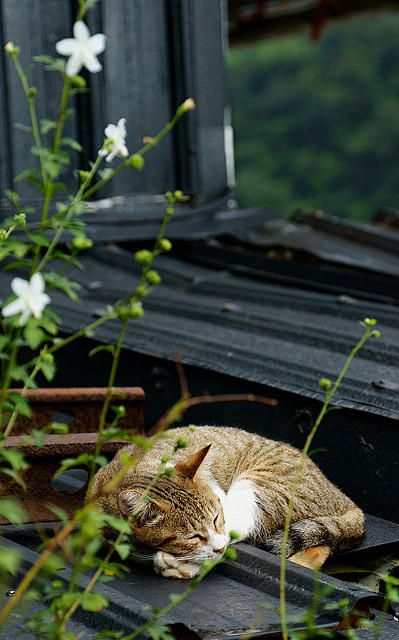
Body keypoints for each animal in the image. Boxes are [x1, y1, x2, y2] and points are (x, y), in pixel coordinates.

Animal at [89, 428, 364, 576]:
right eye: (192, 536)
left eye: (215, 518)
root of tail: (342, 496)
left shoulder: (222, 506)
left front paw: (181, 564)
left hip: (264, 487)